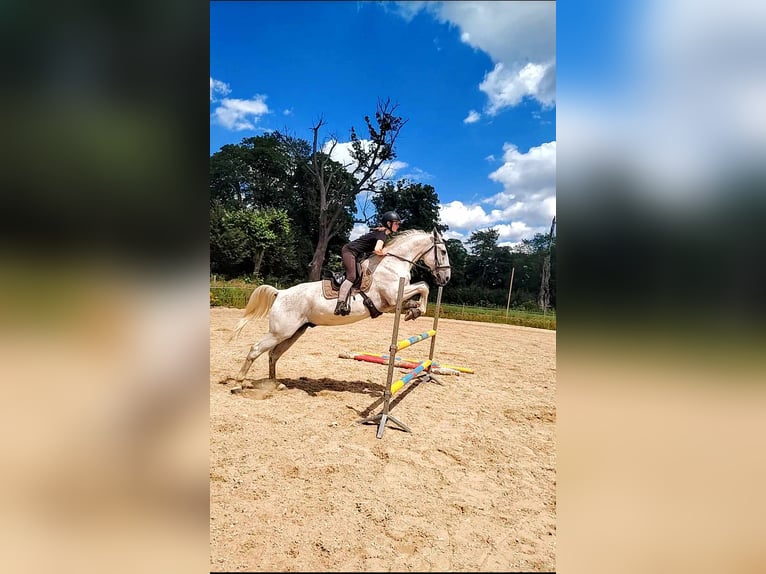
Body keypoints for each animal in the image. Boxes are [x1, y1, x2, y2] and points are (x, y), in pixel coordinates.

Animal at [231, 227, 452, 384]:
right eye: (442, 251)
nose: (446, 278)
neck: (392, 263)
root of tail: (281, 293)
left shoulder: (393, 301)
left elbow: (420, 290)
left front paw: (413, 310)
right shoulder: (393, 295)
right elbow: (424, 286)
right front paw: (417, 310)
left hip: (294, 332)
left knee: (273, 354)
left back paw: (273, 383)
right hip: (280, 332)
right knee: (256, 349)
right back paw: (239, 382)